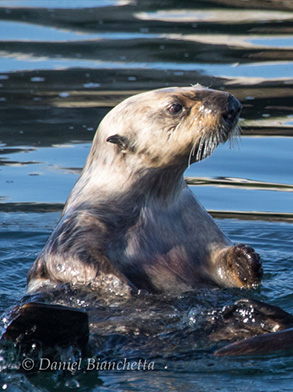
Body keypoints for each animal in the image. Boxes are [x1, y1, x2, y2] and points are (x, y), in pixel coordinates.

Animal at [26, 85, 262, 294]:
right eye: (175, 107)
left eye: (201, 85)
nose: (232, 104)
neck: (154, 206)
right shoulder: (83, 222)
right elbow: (67, 259)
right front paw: (121, 286)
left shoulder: (197, 223)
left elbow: (220, 264)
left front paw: (245, 257)